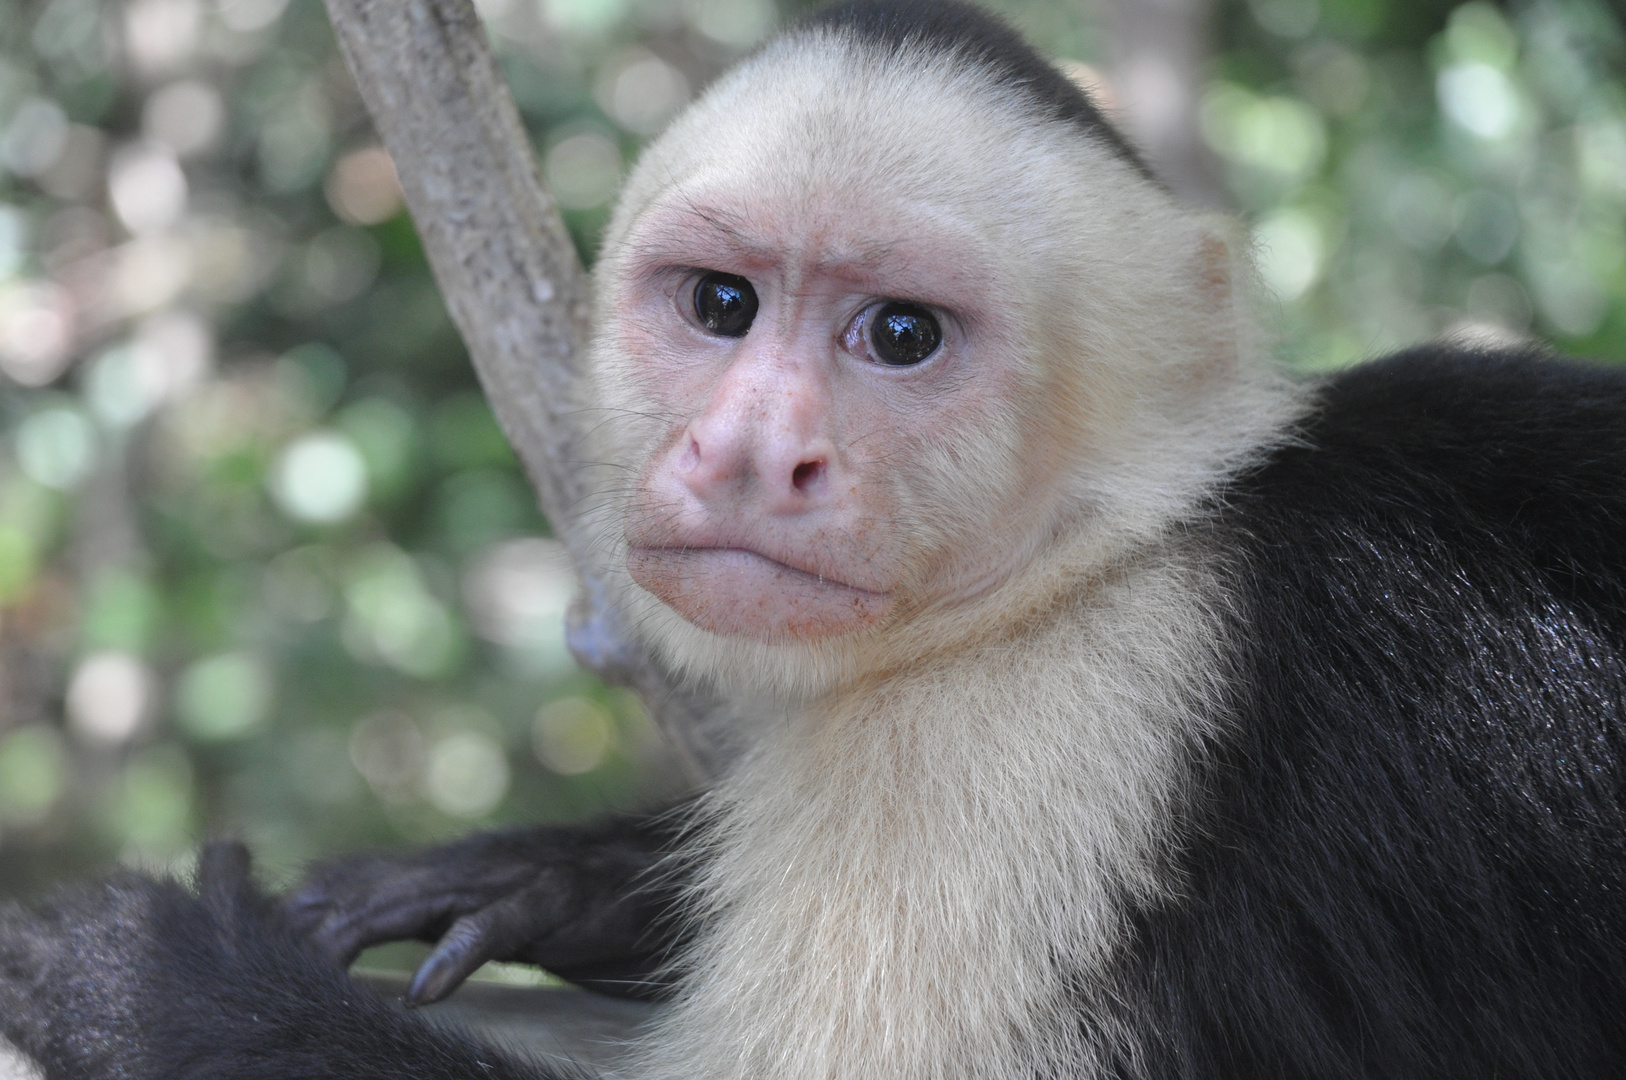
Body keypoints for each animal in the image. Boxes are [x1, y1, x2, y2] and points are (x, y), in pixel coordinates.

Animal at [3, 2, 1626, 1080]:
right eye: (721, 306)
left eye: (899, 336)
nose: (743, 453)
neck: (1106, 555)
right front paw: (547, 879)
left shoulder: (1033, 740)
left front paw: (153, 981)